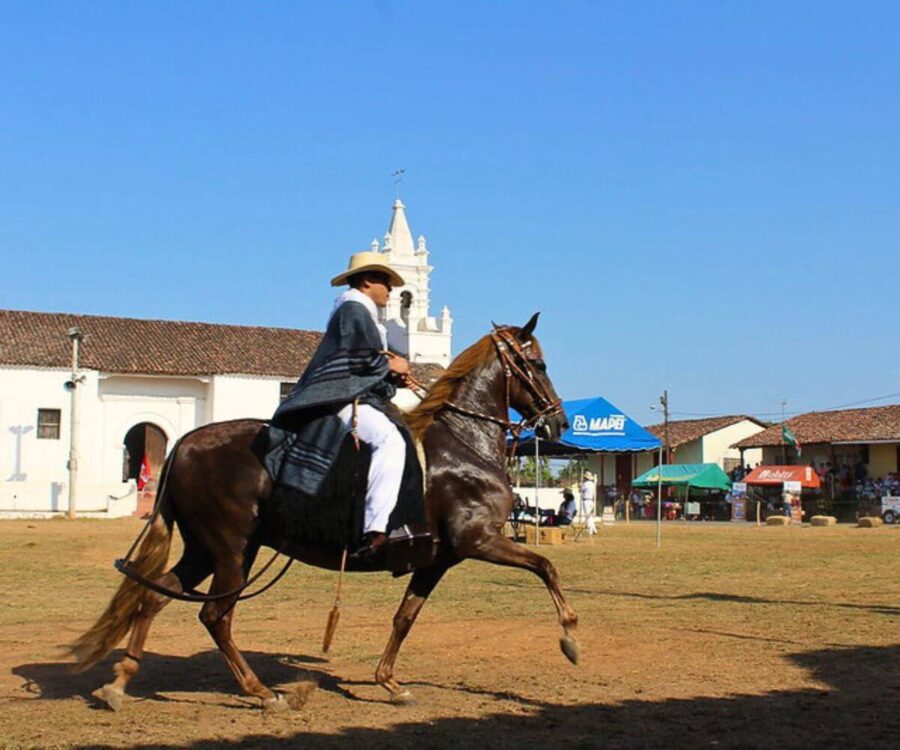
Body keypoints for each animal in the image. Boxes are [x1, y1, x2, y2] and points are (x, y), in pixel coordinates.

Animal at [70, 314, 576, 712]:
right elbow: (546, 566)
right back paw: (261, 692)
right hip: (232, 551)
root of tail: (185, 443)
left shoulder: (439, 559)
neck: (462, 445)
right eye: (537, 364)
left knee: (155, 597)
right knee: (215, 616)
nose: (558, 422)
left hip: (205, 550)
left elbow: (405, 618)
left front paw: (389, 682)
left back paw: (120, 682)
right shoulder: (479, 540)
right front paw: (570, 636)